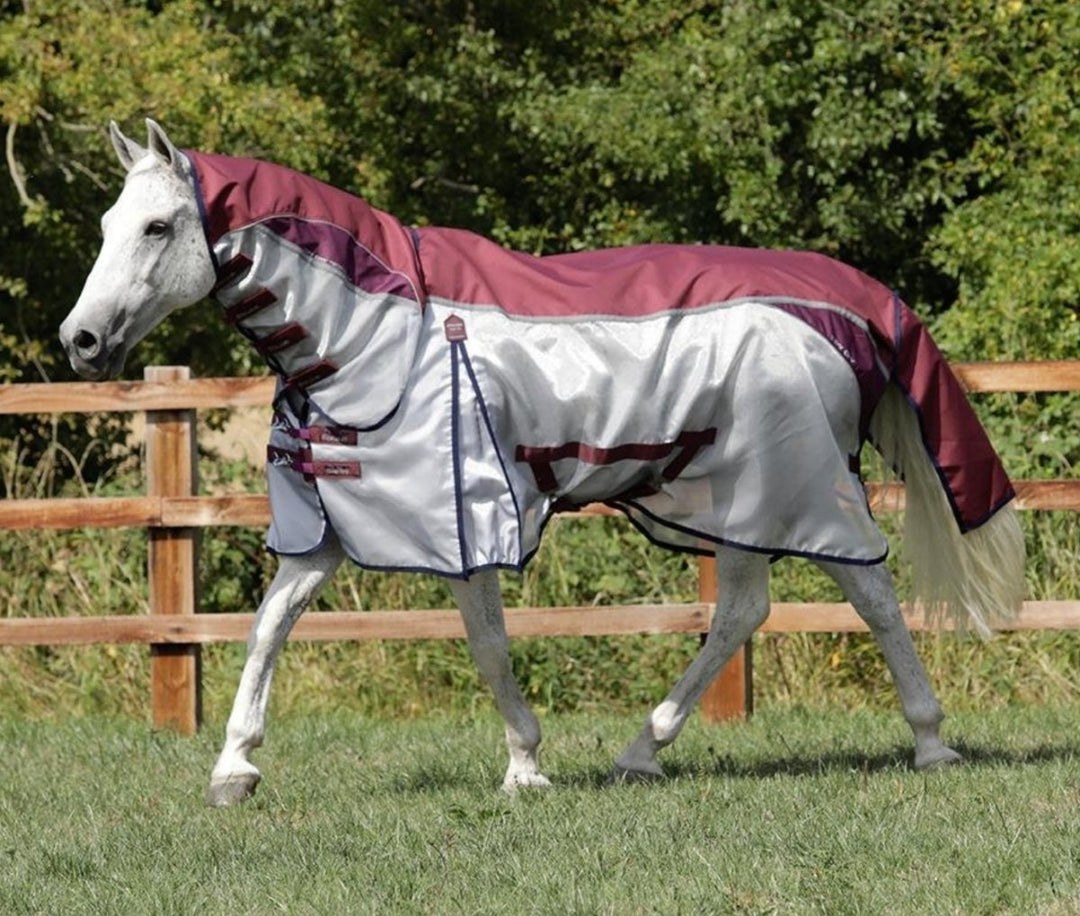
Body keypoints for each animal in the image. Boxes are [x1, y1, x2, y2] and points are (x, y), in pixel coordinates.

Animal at [60, 120, 1024, 806]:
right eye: (108, 224)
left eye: (158, 225)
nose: (81, 340)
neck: (381, 332)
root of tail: (847, 304)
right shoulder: (338, 524)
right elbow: (268, 628)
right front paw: (233, 768)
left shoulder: (463, 519)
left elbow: (488, 646)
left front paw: (525, 766)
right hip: (732, 499)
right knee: (743, 612)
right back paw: (641, 751)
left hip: (799, 488)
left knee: (872, 595)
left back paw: (931, 742)